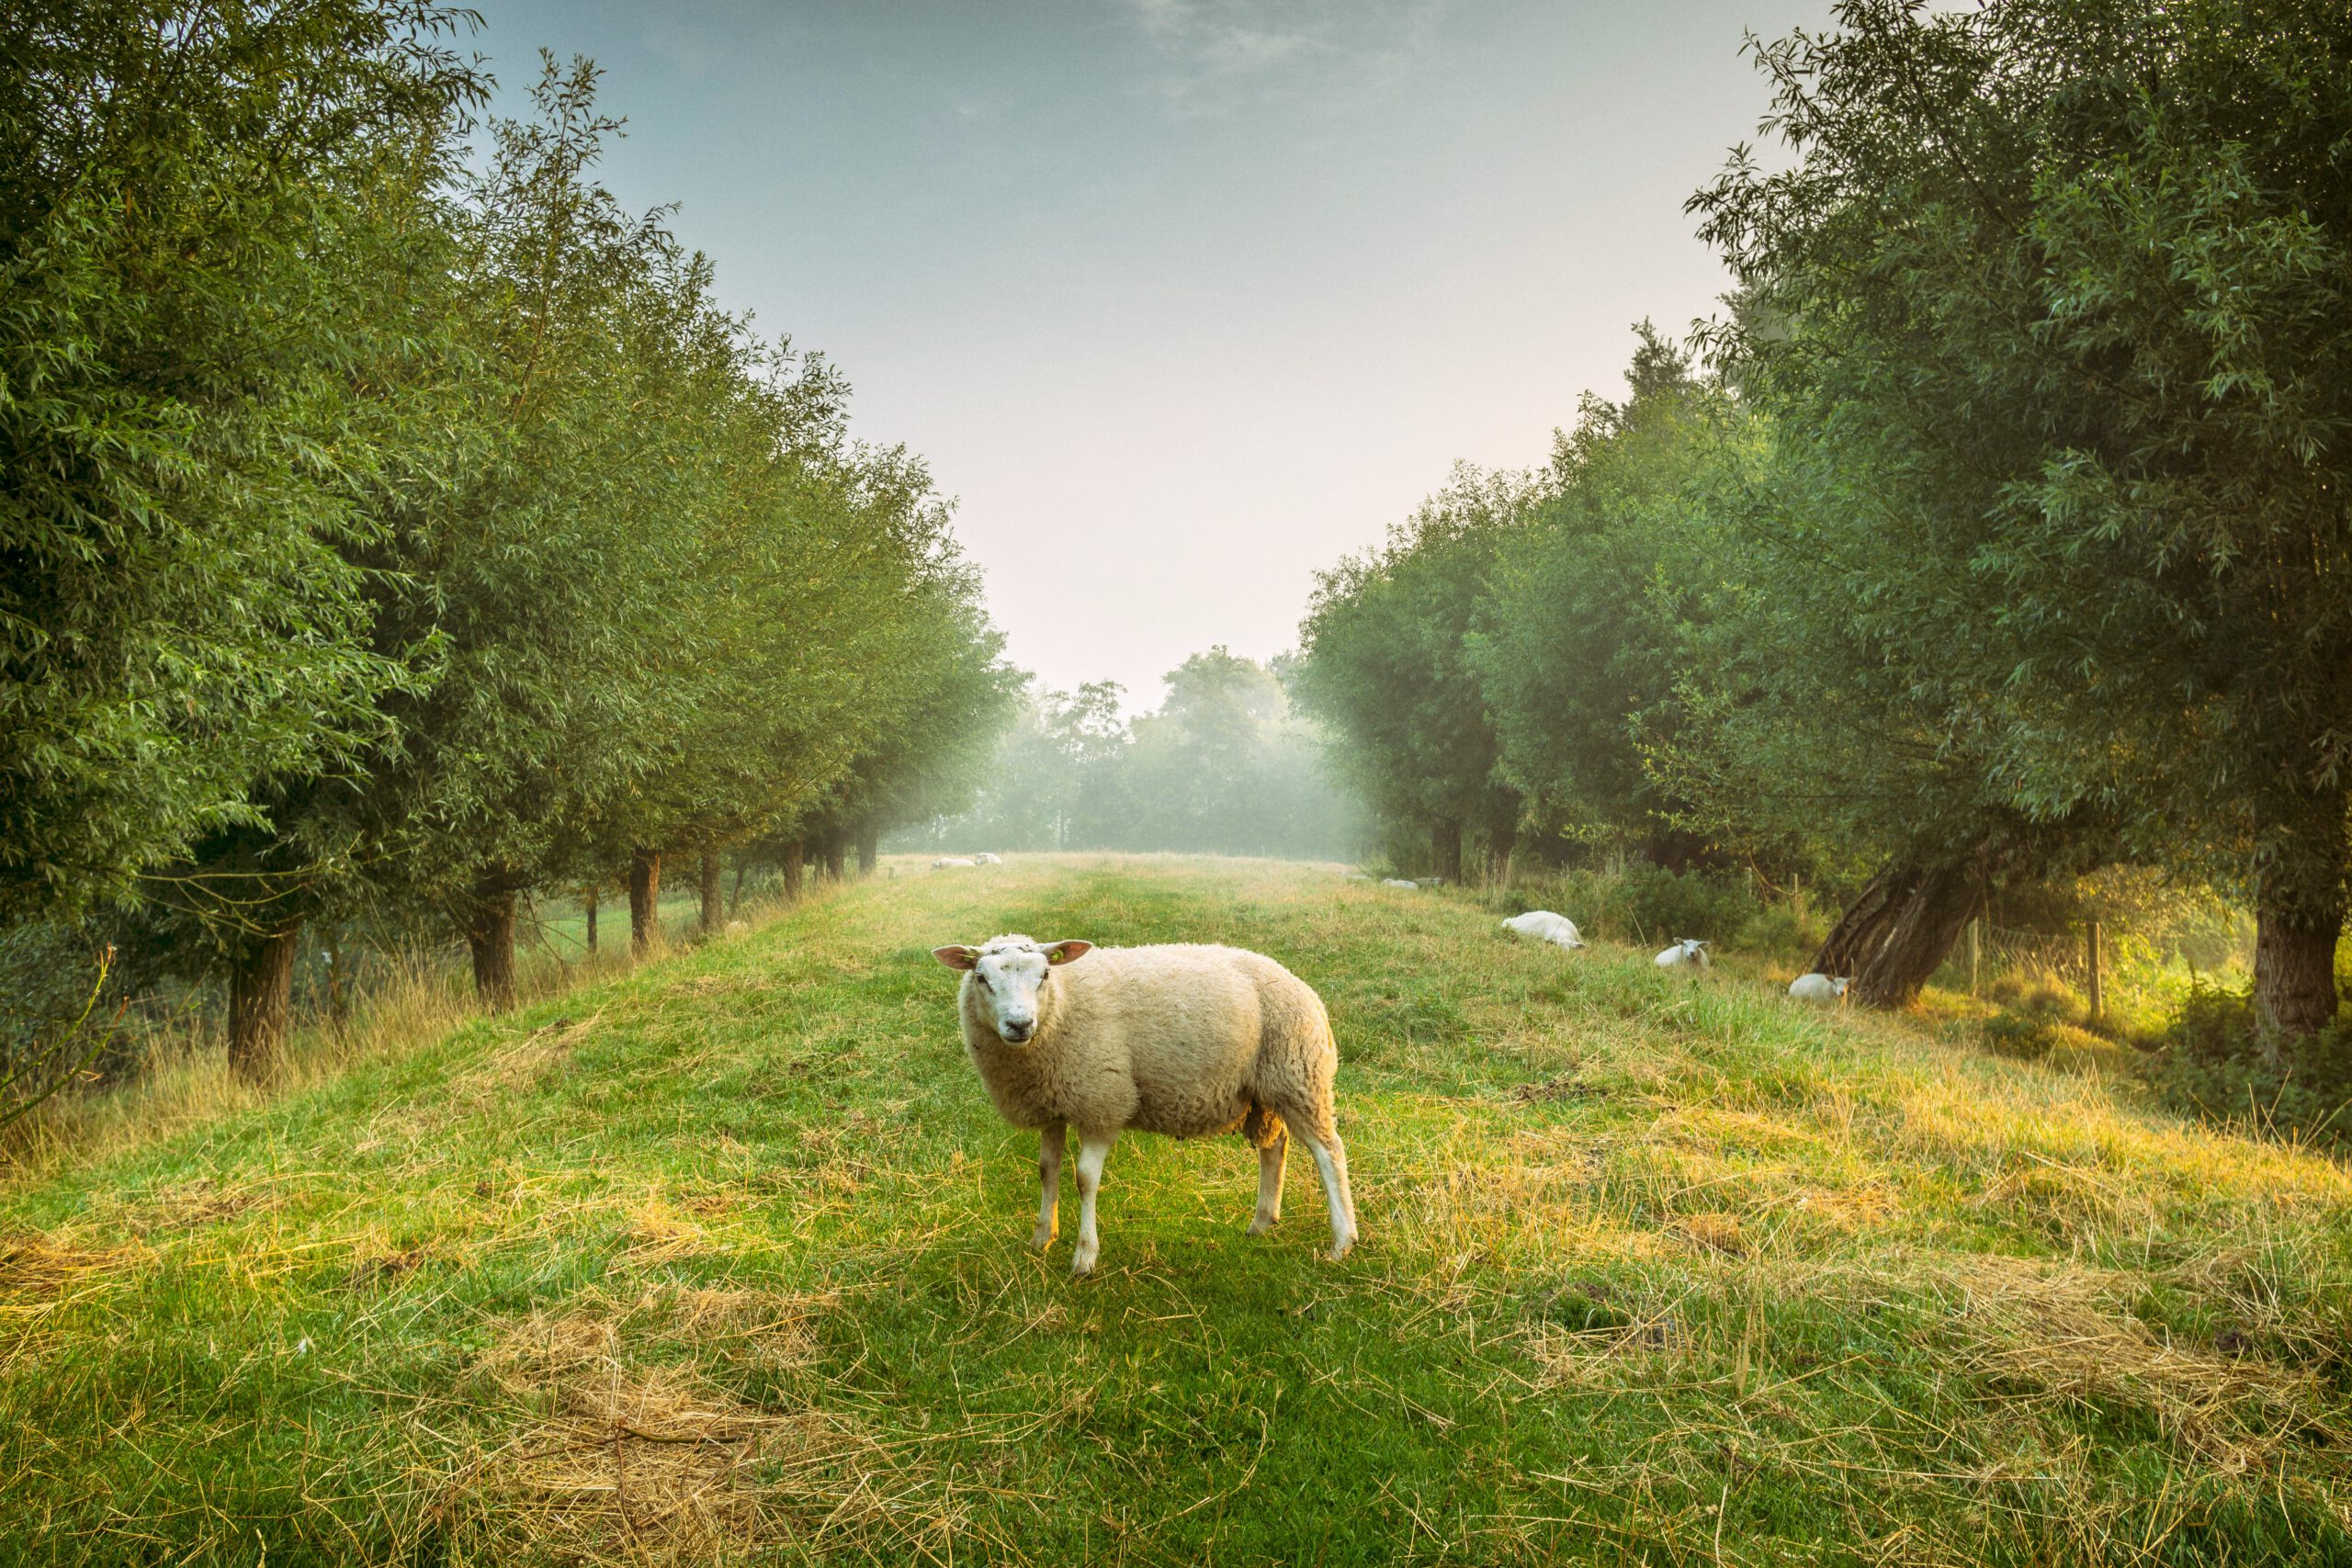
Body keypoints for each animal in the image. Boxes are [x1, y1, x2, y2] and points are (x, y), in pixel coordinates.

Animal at [926, 931, 1354, 1279]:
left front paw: (1085, 1257)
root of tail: (1302, 986)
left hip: (1298, 1074)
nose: (1019, 1025)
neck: (1061, 1007)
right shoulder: (1053, 1103)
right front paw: (1041, 1238)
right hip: (1264, 1091)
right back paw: (1262, 1222)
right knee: (1275, 1147)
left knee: (1329, 1152)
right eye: (982, 978)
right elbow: (1047, 1171)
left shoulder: (1101, 1101)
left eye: (1044, 975)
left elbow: (1085, 1179)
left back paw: (1342, 1241)